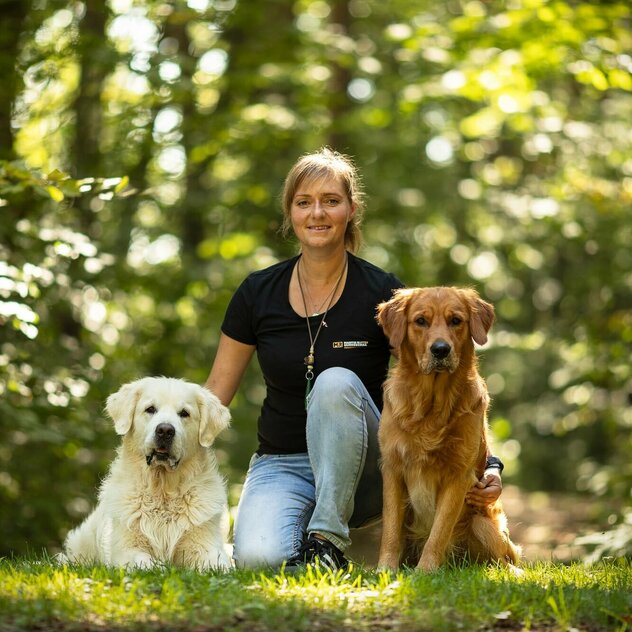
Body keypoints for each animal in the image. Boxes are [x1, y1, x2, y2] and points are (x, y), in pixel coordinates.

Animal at [63, 378, 232, 572]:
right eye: (150, 409)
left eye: (184, 413)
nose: (165, 430)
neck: (162, 490)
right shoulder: (128, 549)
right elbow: (147, 564)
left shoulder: (205, 546)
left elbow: (220, 566)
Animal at [378, 288, 520, 572]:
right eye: (420, 321)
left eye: (456, 320)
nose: (441, 350)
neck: (432, 406)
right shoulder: (393, 467)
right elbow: (390, 530)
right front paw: (385, 570)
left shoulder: (459, 475)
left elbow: (440, 530)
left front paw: (425, 572)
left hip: (484, 525)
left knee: (502, 561)